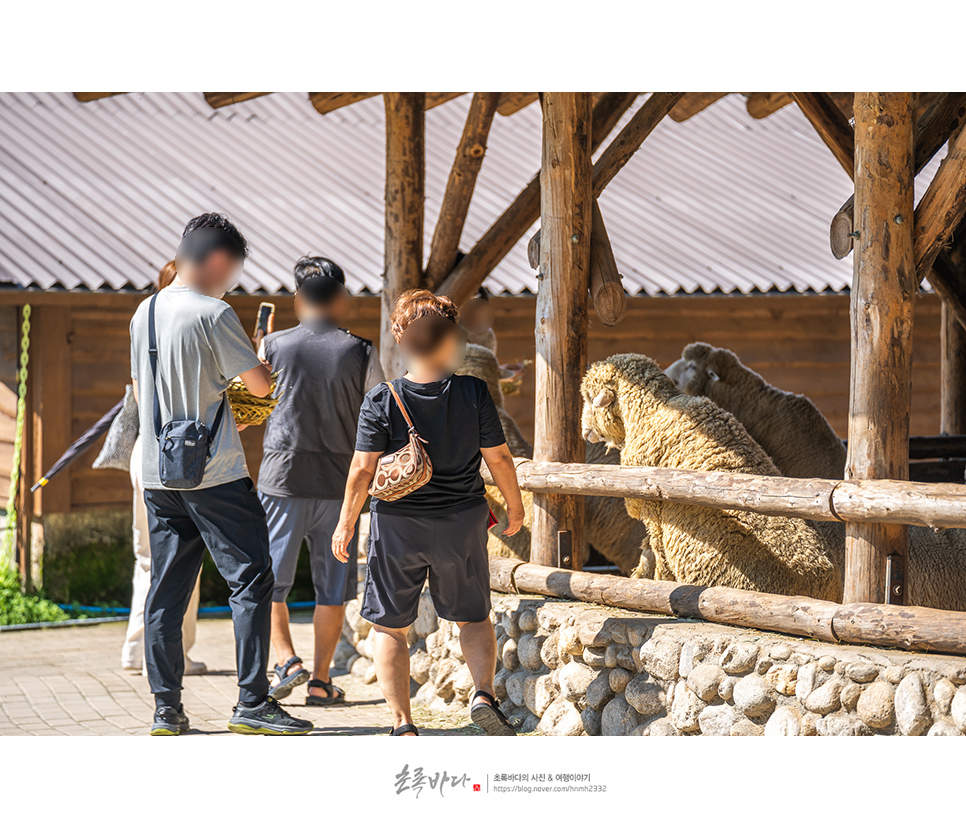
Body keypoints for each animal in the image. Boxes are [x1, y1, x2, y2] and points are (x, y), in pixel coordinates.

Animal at [580, 352, 844, 600]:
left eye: (590, 399)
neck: (652, 410)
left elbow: (657, 549)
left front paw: (655, 581)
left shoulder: (651, 507)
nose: (584, 432)